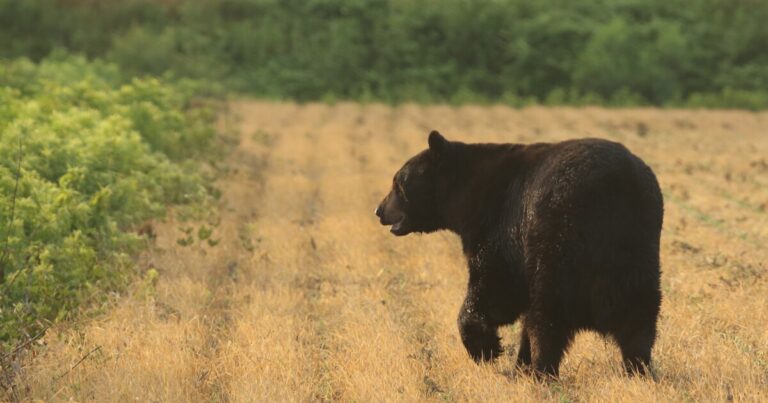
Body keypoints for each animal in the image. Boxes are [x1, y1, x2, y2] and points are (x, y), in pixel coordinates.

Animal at [375, 131, 663, 376]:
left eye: (397, 181)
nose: (379, 210)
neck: (467, 196)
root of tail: (614, 187)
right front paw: (513, 362)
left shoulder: (499, 227)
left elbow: (494, 287)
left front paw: (485, 348)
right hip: (638, 249)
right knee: (640, 317)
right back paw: (637, 366)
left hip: (556, 241)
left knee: (547, 315)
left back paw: (542, 370)